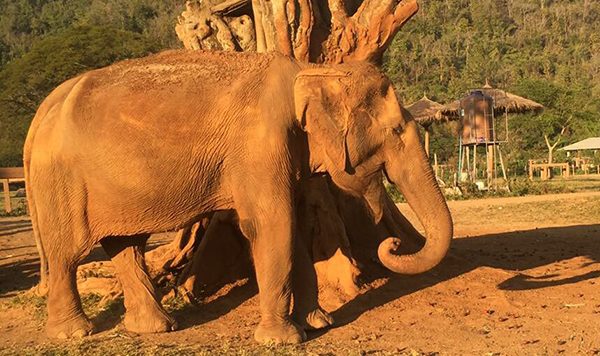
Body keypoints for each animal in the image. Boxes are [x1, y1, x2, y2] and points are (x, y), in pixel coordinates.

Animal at [25, 49, 452, 342]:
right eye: (395, 130)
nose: (392, 244)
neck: (309, 70)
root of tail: (44, 109)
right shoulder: (260, 144)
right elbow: (272, 224)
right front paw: (283, 340)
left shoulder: (289, 149)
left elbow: (293, 227)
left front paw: (318, 322)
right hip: (60, 179)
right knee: (68, 252)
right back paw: (74, 333)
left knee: (124, 245)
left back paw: (157, 328)